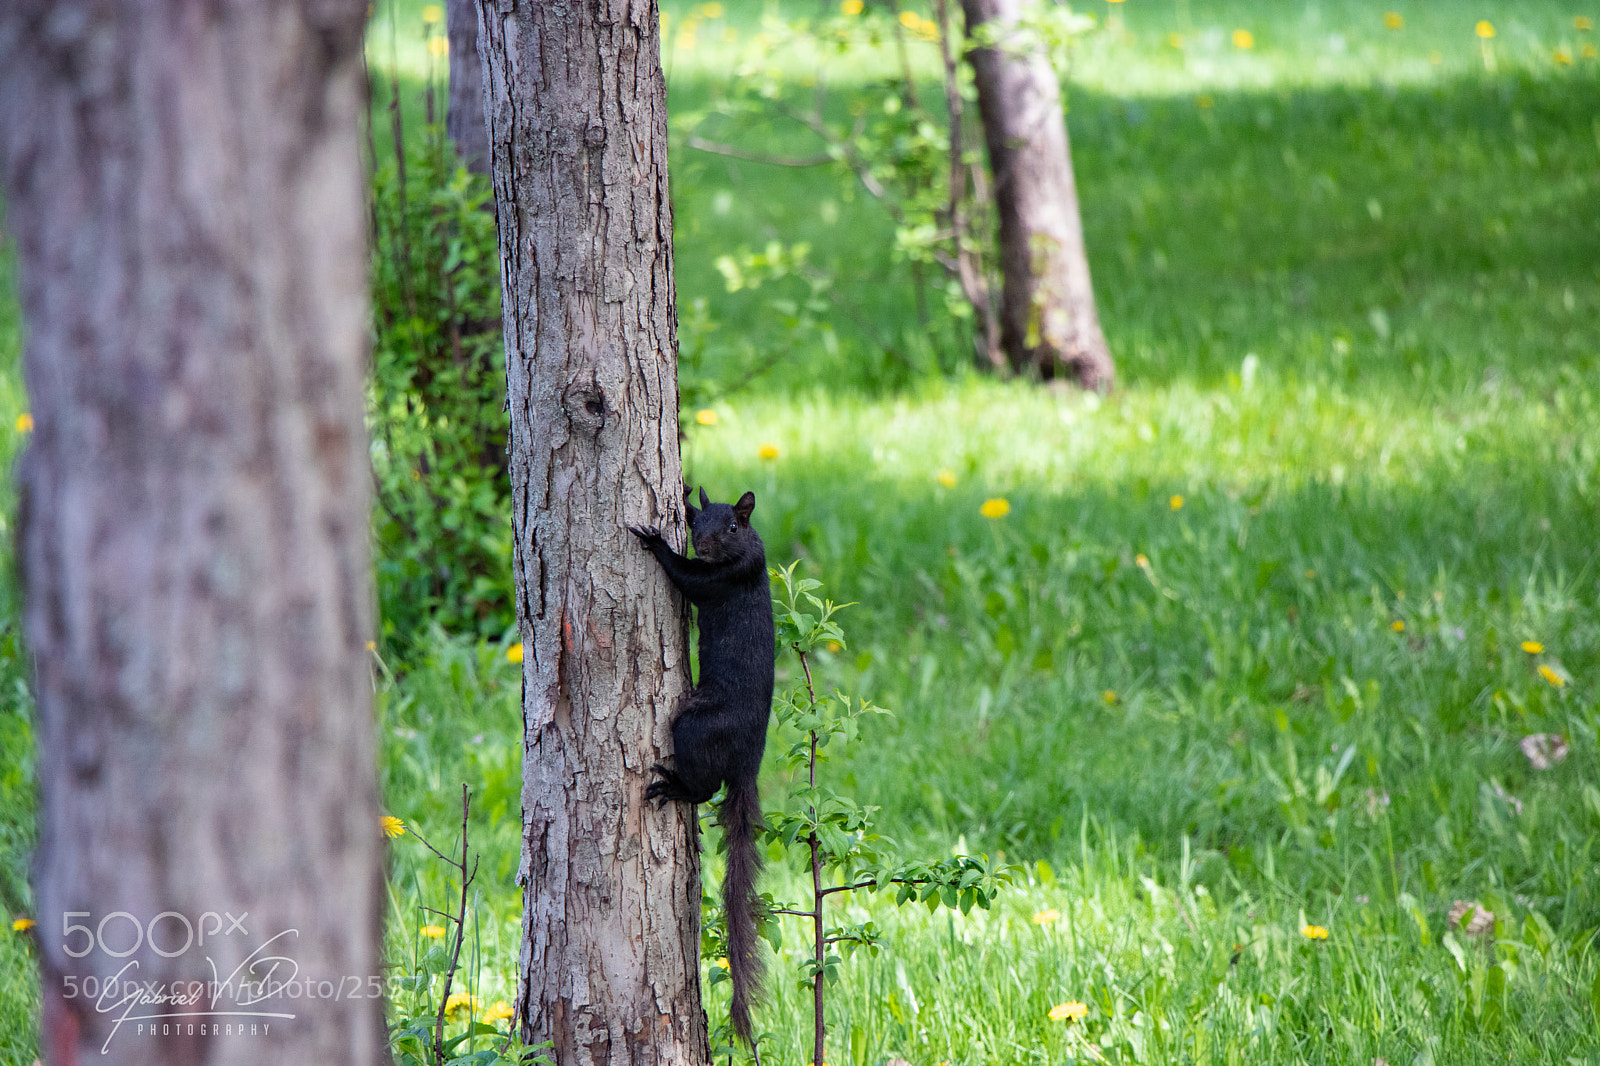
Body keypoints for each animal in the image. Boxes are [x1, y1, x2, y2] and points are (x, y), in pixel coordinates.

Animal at [629, 486, 774, 1046]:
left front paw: (653, 541)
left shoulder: (724, 578)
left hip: (696, 728)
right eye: (696, 521)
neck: (745, 552)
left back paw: (675, 787)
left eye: (732, 526)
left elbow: (685, 576)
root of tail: (750, 759)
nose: (706, 544)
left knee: (706, 786)